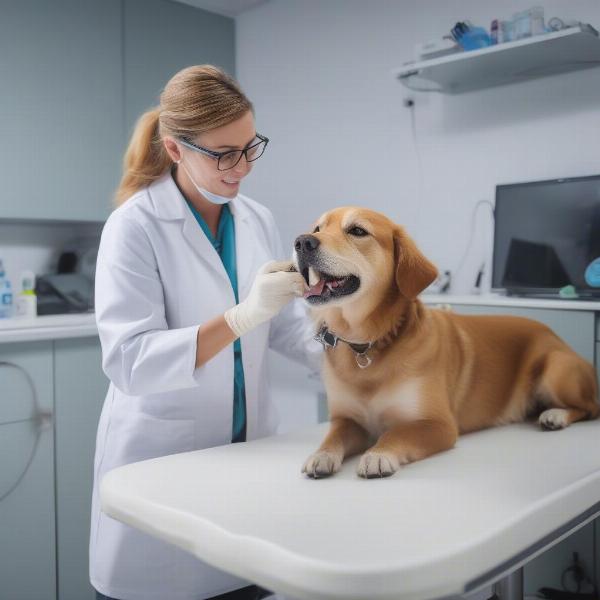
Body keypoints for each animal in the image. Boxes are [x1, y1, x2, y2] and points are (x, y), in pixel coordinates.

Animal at [292, 206, 596, 478]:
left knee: (592, 408)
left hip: (555, 368)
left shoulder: (437, 424)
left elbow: (397, 433)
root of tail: (553, 333)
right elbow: (333, 436)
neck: (366, 344)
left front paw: (378, 454)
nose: (301, 242)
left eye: (357, 231)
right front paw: (321, 455)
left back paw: (556, 416)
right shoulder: (348, 420)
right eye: (317, 228)